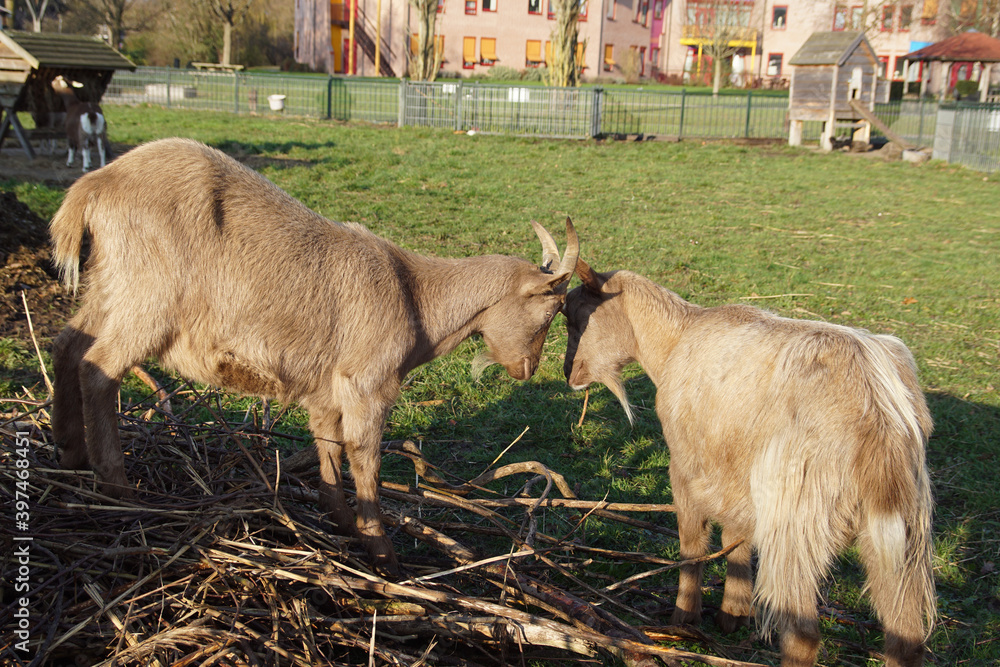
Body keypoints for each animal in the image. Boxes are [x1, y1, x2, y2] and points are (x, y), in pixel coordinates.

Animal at [50, 138, 579, 575]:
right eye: (550, 310)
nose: (528, 369)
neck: (415, 296)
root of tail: (94, 187)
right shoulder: (368, 383)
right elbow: (364, 456)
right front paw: (382, 552)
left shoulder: (325, 391)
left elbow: (329, 449)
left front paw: (341, 521)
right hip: (149, 297)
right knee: (100, 368)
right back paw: (117, 487)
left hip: (108, 286)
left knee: (68, 345)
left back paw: (71, 456)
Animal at [562, 261, 935, 667]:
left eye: (575, 317)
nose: (568, 373)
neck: (676, 338)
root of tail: (877, 408)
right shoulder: (734, 475)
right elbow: (735, 539)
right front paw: (733, 614)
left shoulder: (686, 465)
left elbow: (692, 543)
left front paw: (683, 618)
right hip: (902, 532)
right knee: (906, 634)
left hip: (797, 522)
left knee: (803, 634)